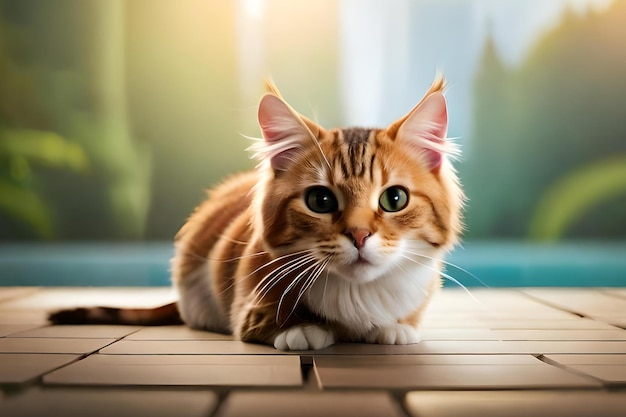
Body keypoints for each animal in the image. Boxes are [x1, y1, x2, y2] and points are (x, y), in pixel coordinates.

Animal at [48, 76, 460, 350]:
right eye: (321, 201)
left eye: (394, 199)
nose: (359, 235)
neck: (358, 298)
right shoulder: (246, 301)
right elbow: (269, 318)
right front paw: (301, 329)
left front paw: (393, 327)